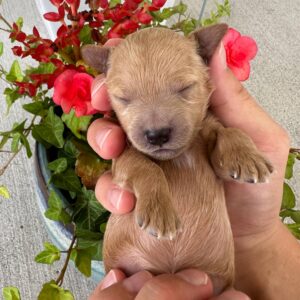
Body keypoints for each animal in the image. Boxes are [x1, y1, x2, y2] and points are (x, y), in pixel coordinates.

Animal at [81, 24, 272, 294]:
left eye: (185, 88)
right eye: (123, 98)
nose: (157, 134)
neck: (179, 156)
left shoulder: (211, 141)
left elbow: (230, 131)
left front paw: (246, 157)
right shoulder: (123, 159)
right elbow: (147, 168)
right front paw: (159, 210)